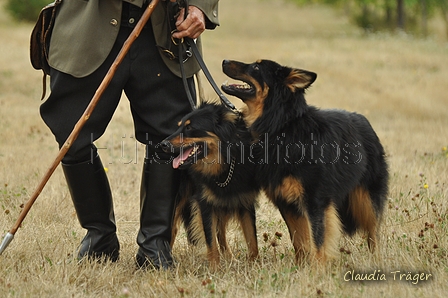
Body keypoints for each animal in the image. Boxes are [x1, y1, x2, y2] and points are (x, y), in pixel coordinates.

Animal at [161, 103, 260, 268]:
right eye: (179, 126)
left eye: (189, 127)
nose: (162, 145)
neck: (225, 165)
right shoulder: (205, 202)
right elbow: (210, 238)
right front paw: (215, 268)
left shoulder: (244, 200)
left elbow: (252, 237)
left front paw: (254, 264)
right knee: (173, 227)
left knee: (220, 231)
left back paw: (230, 257)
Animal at [220, 59, 388, 264]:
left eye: (256, 67)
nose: (224, 61)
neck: (281, 126)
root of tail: (365, 121)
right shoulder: (286, 202)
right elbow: (299, 239)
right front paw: (301, 266)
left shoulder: (316, 201)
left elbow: (318, 240)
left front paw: (317, 269)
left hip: (366, 200)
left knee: (374, 233)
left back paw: (377, 260)